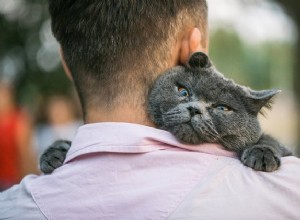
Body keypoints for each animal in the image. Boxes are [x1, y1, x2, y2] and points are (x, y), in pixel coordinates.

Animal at [38, 52, 292, 174]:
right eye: (183, 91)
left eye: (222, 108)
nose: (194, 109)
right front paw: (55, 153)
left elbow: (270, 139)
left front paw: (262, 153)